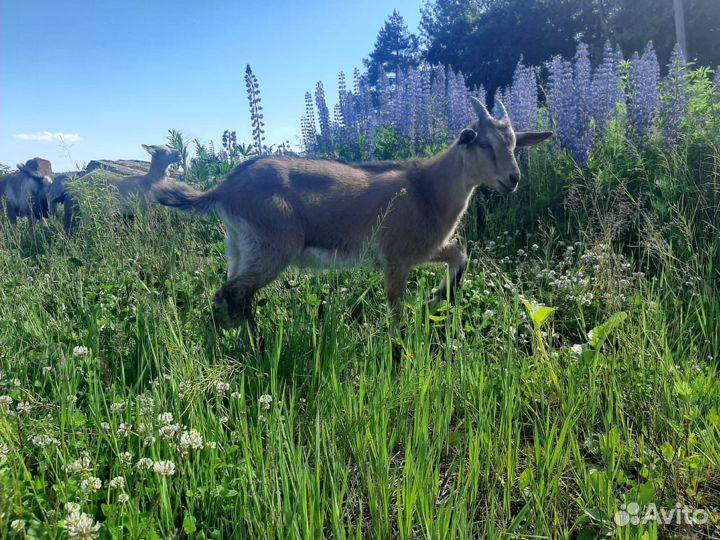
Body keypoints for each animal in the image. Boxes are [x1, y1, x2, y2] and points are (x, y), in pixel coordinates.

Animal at [154, 99, 552, 330]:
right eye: (483, 143)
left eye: (515, 145)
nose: (512, 179)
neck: (427, 190)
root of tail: (224, 189)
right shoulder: (396, 257)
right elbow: (396, 309)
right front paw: (400, 344)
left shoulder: (424, 249)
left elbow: (460, 255)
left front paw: (437, 297)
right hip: (270, 247)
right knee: (234, 293)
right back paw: (255, 342)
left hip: (240, 246)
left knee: (227, 295)